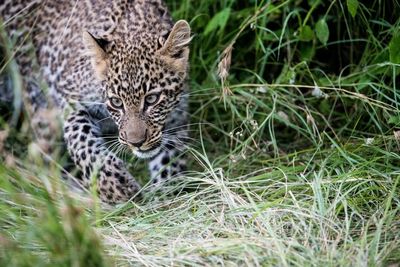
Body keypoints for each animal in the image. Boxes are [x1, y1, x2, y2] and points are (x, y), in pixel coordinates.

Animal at [0, 0, 191, 204]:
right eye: (116, 102)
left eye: (152, 99)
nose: (136, 143)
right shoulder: (69, 98)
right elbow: (82, 141)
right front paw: (117, 185)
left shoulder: (175, 122)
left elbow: (169, 162)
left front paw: (166, 195)